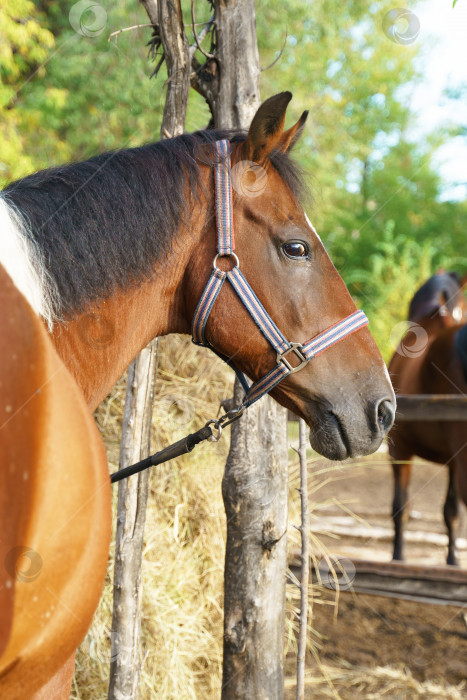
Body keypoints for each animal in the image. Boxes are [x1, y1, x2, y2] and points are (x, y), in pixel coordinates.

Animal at [388, 270, 467, 568]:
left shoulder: (398, 450)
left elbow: (401, 508)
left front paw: (398, 557)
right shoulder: (452, 461)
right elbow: (451, 512)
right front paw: (453, 560)